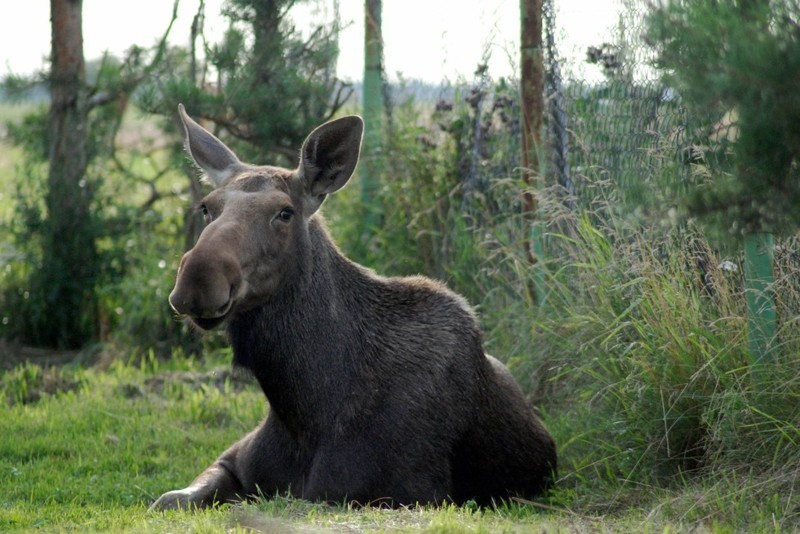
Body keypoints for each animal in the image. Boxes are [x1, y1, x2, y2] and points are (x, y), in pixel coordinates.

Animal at [153, 104, 560, 510]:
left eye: (285, 212)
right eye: (207, 208)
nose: (198, 278)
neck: (303, 408)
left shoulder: (400, 493)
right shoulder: (236, 461)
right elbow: (169, 498)